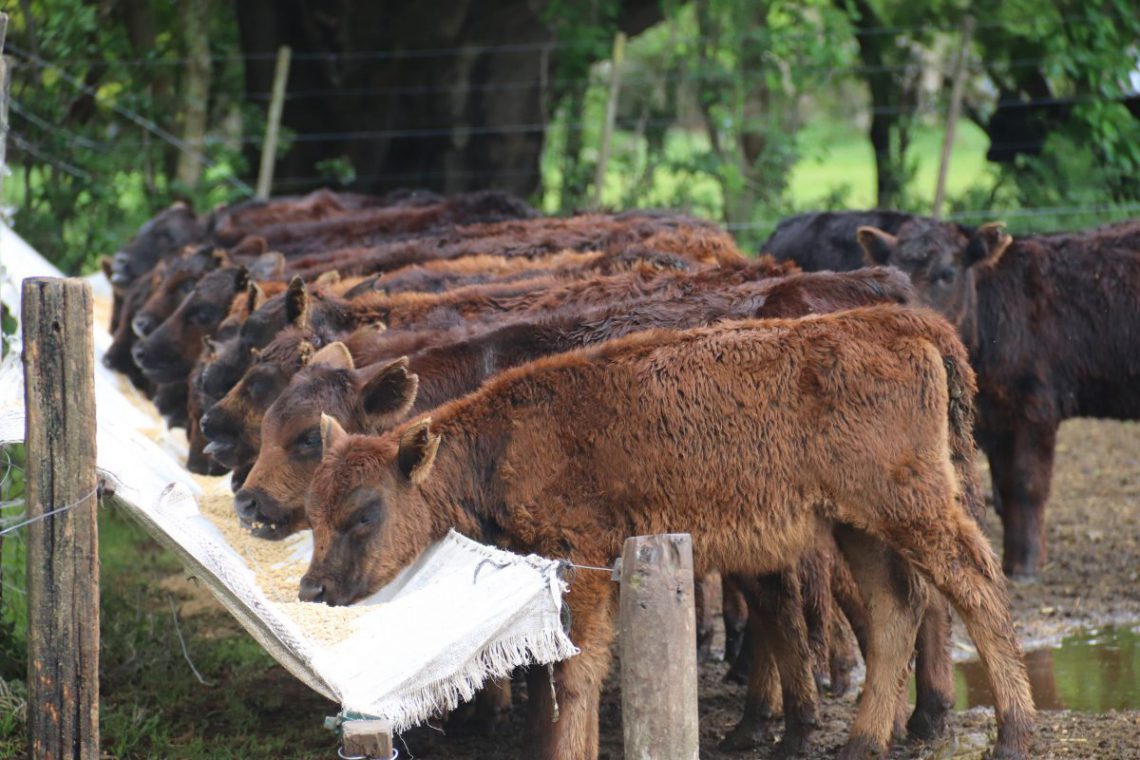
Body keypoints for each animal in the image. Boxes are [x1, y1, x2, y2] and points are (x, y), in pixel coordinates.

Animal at [300, 307, 1035, 760]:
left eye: (364, 511)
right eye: (314, 506)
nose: (312, 587)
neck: (505, 439)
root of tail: (901, 321)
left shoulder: (583, 559)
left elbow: (573, 673)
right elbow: (566, 670)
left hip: (912, 507)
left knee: (976, 585)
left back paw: (1014, 734)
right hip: (859, 524)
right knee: (893, 610)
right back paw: (861, 743)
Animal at [857, 218, 1140, 576]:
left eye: (948, 273)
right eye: (895, 271)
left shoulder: (1035, 406)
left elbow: (1026, 485)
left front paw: (1025, 565)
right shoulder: (996, 416)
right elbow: (1004, 487)